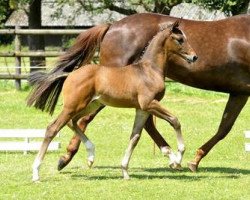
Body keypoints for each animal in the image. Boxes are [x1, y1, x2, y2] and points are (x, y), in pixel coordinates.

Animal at [27, 12, 250, 172]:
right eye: (180, 40)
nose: (195, 57)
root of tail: (112, 26)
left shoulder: (240, 92)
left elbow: (224, 128)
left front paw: (194, 160)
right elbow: (222, 129)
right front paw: (192, 160)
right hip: (107, 92)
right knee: (83, 119)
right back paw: (68, 158)